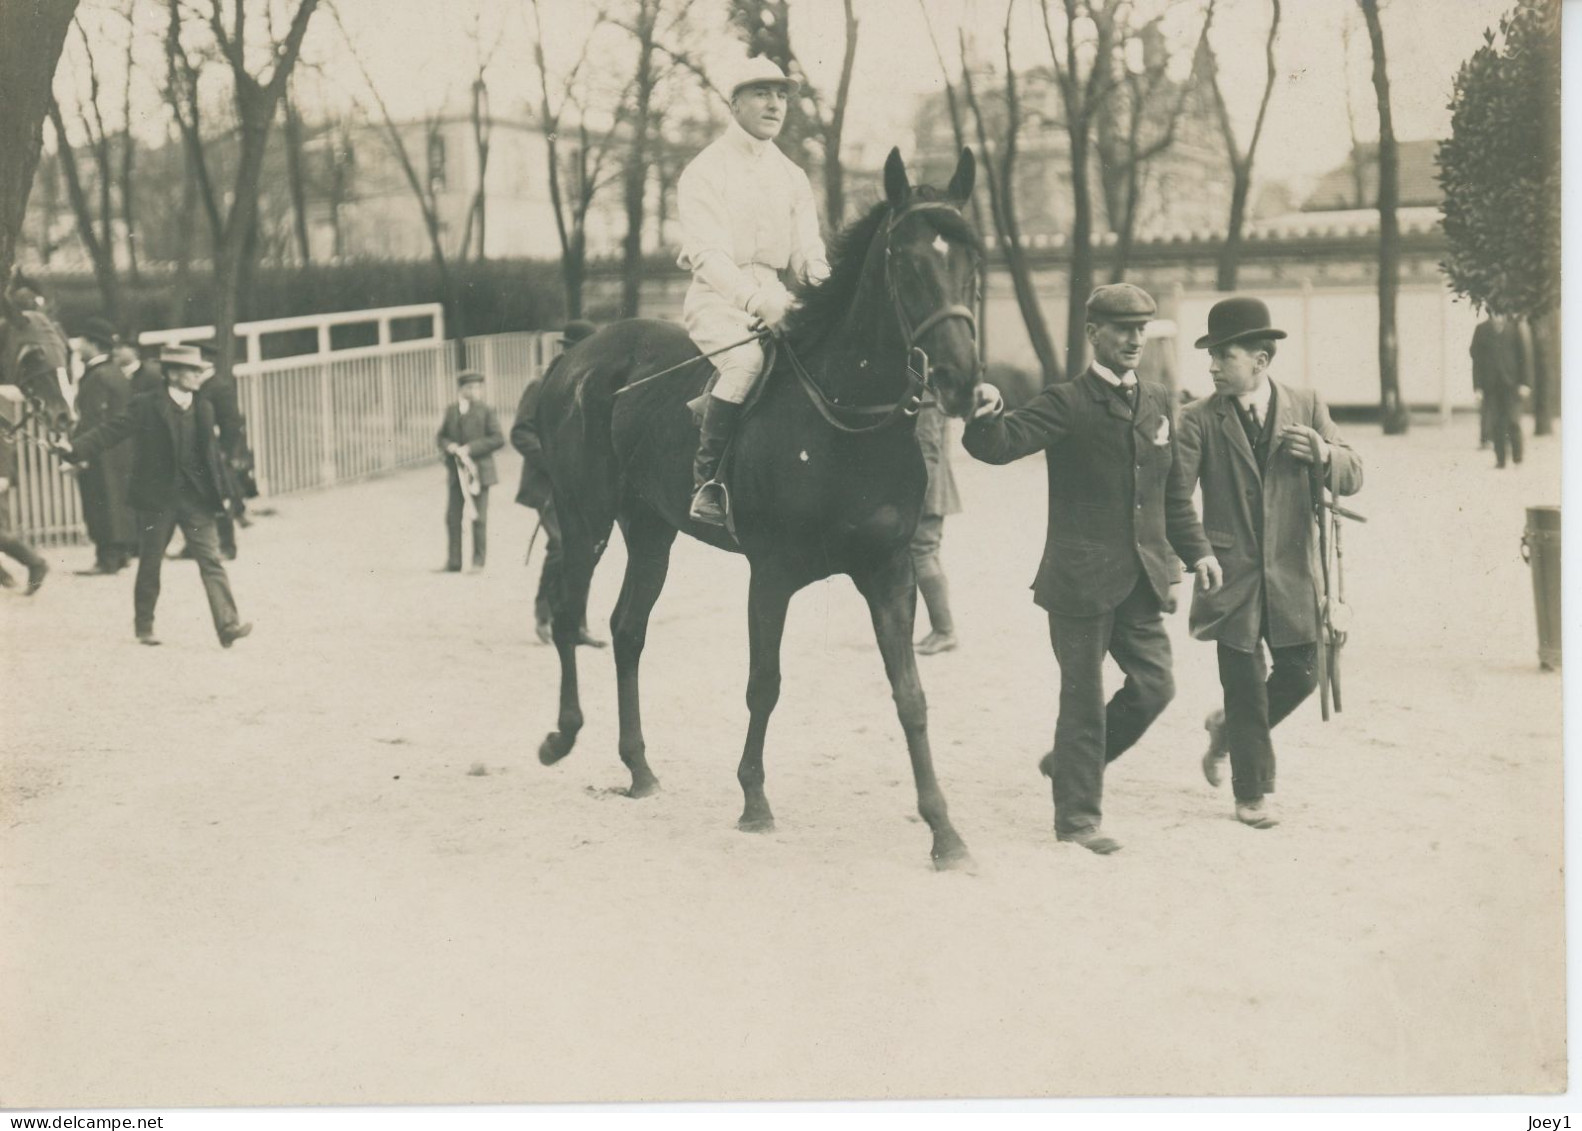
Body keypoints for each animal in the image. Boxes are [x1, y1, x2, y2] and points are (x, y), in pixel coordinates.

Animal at [537, 150, 980, 873]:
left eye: (973, 257)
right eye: (907, 261)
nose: (958, 381)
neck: (847, 419)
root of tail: (579, 353)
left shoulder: (889, 571)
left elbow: (911, 696)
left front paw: (945, 832)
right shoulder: (771, 574)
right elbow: (764, 683)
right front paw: (753, 801)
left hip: (650, 531)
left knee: (627, 628)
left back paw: (639, 767)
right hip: (585, 521)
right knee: (571, 614)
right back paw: (561, 736)